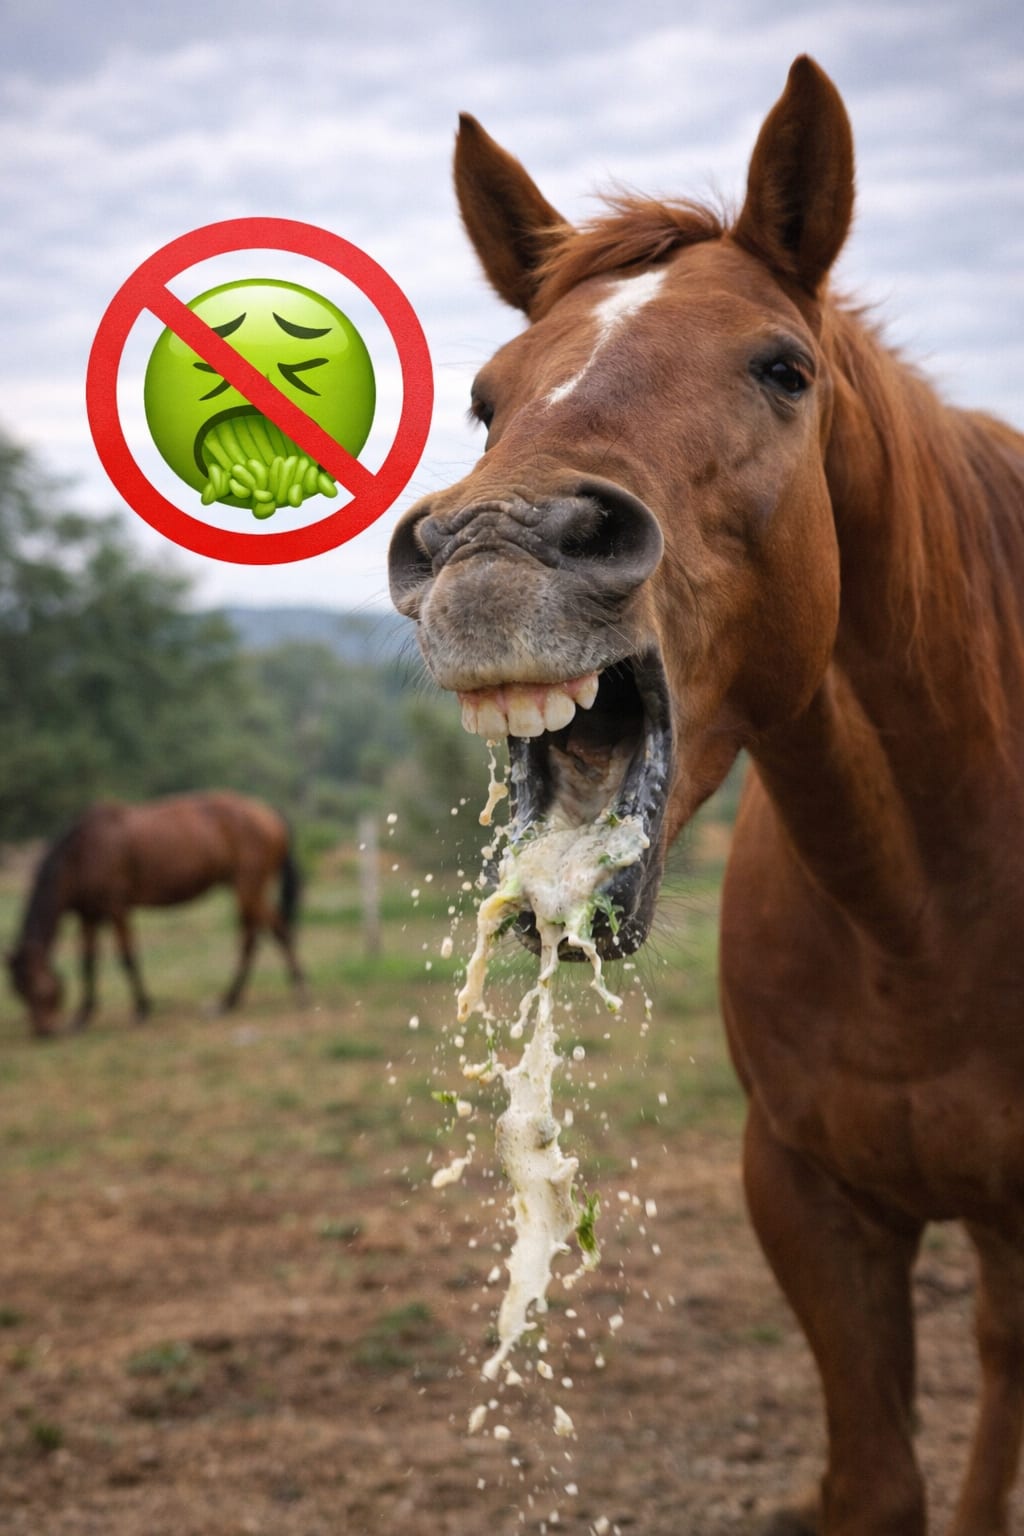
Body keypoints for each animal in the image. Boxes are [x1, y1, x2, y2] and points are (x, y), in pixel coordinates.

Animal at [7, 790, 307, 1036]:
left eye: (37, 987)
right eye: (18, 991)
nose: (43, 1032)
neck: (81, 854)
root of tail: (267, 812)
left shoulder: (117, 908)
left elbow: (127, 957)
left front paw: (141, 1008)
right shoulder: (89, 916)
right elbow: (88, 963)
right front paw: (83, 1016)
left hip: (248, 887)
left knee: (264, 935)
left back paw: (248, 998)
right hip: (246, 888)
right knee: (268, 931)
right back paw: (243, 997)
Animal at [388, 56, 1024, 1536]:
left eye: (782, 369)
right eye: (488, 400)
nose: (498, 548)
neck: (928, 914)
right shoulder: (803, 1197)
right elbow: (876, 1483)